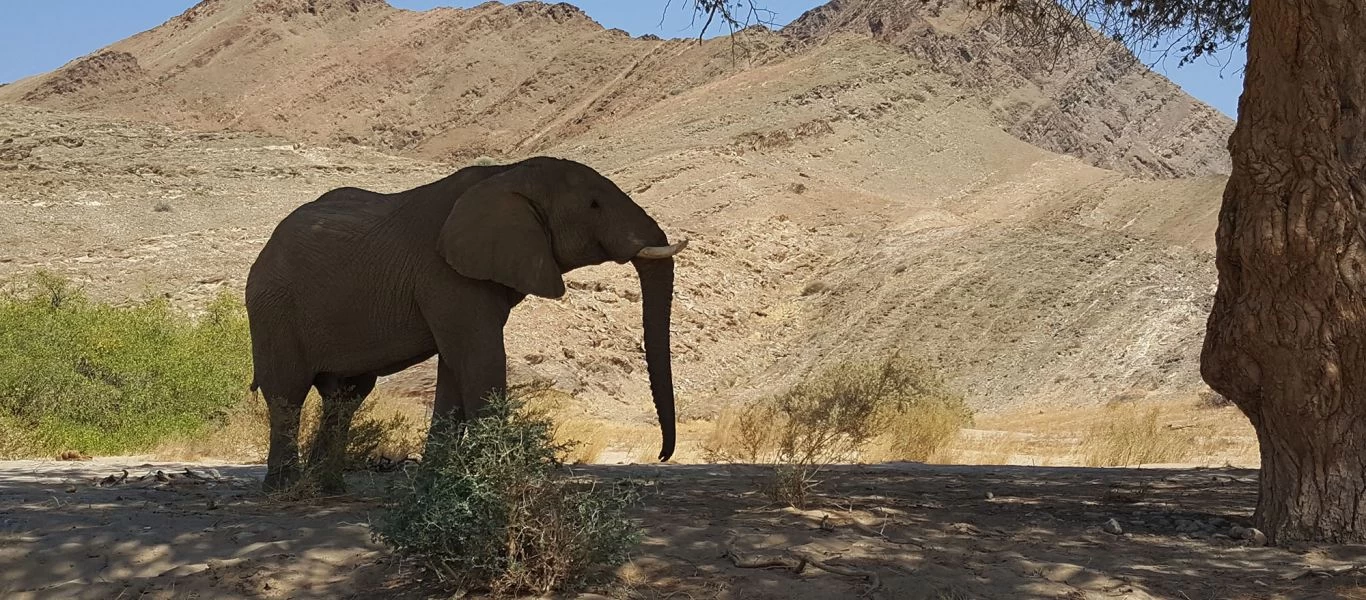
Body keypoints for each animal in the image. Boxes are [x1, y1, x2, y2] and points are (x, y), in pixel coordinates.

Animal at [243, 156, 683, 492]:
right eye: (594, 205)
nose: (663, 455)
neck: (507, 174)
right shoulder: (445, 274)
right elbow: (478, 359)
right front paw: (498, 480)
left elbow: (455, 369)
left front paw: (436, 482)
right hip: (273, 308)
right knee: (287, 393)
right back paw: (284, 490)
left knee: (346, 397)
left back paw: (328, 488)